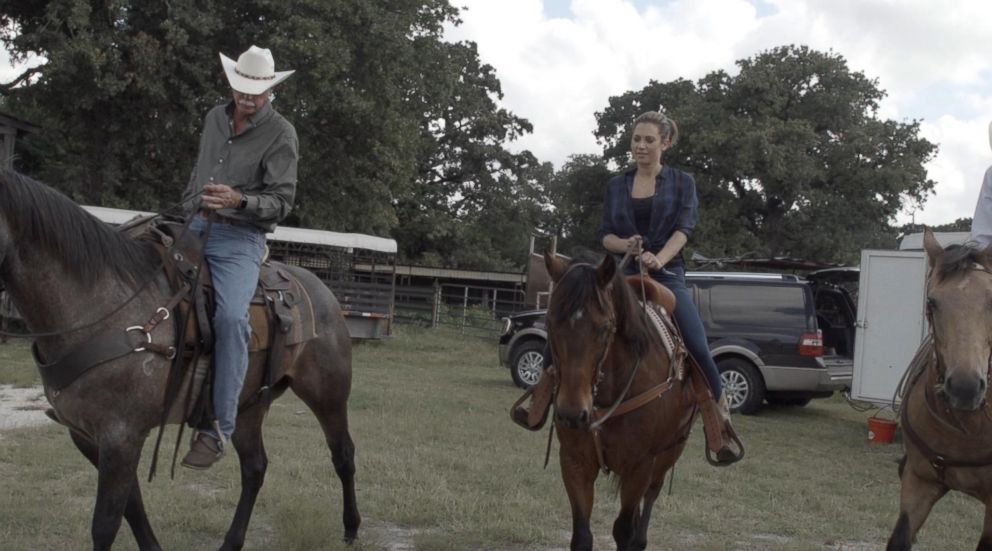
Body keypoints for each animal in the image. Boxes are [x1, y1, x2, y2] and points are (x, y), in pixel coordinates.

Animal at [0, 170, 360, 548]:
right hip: (247, 406)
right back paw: (231, 541)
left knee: (343, 454)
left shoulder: (121, 436)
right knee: (255, 467)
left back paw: (351, 527)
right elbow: (132, 505)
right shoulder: (87, 436)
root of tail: (320, 289)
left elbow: (106, 524)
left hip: (327, 395)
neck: (101, 310)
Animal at [544, 252, 696, 548]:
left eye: (605, 328)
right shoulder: (573, 461)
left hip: (669, 453)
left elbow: (624, 531)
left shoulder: (640, 466)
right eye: (550, 323)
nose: (572, 414)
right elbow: (582, 535)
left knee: (650, 498)